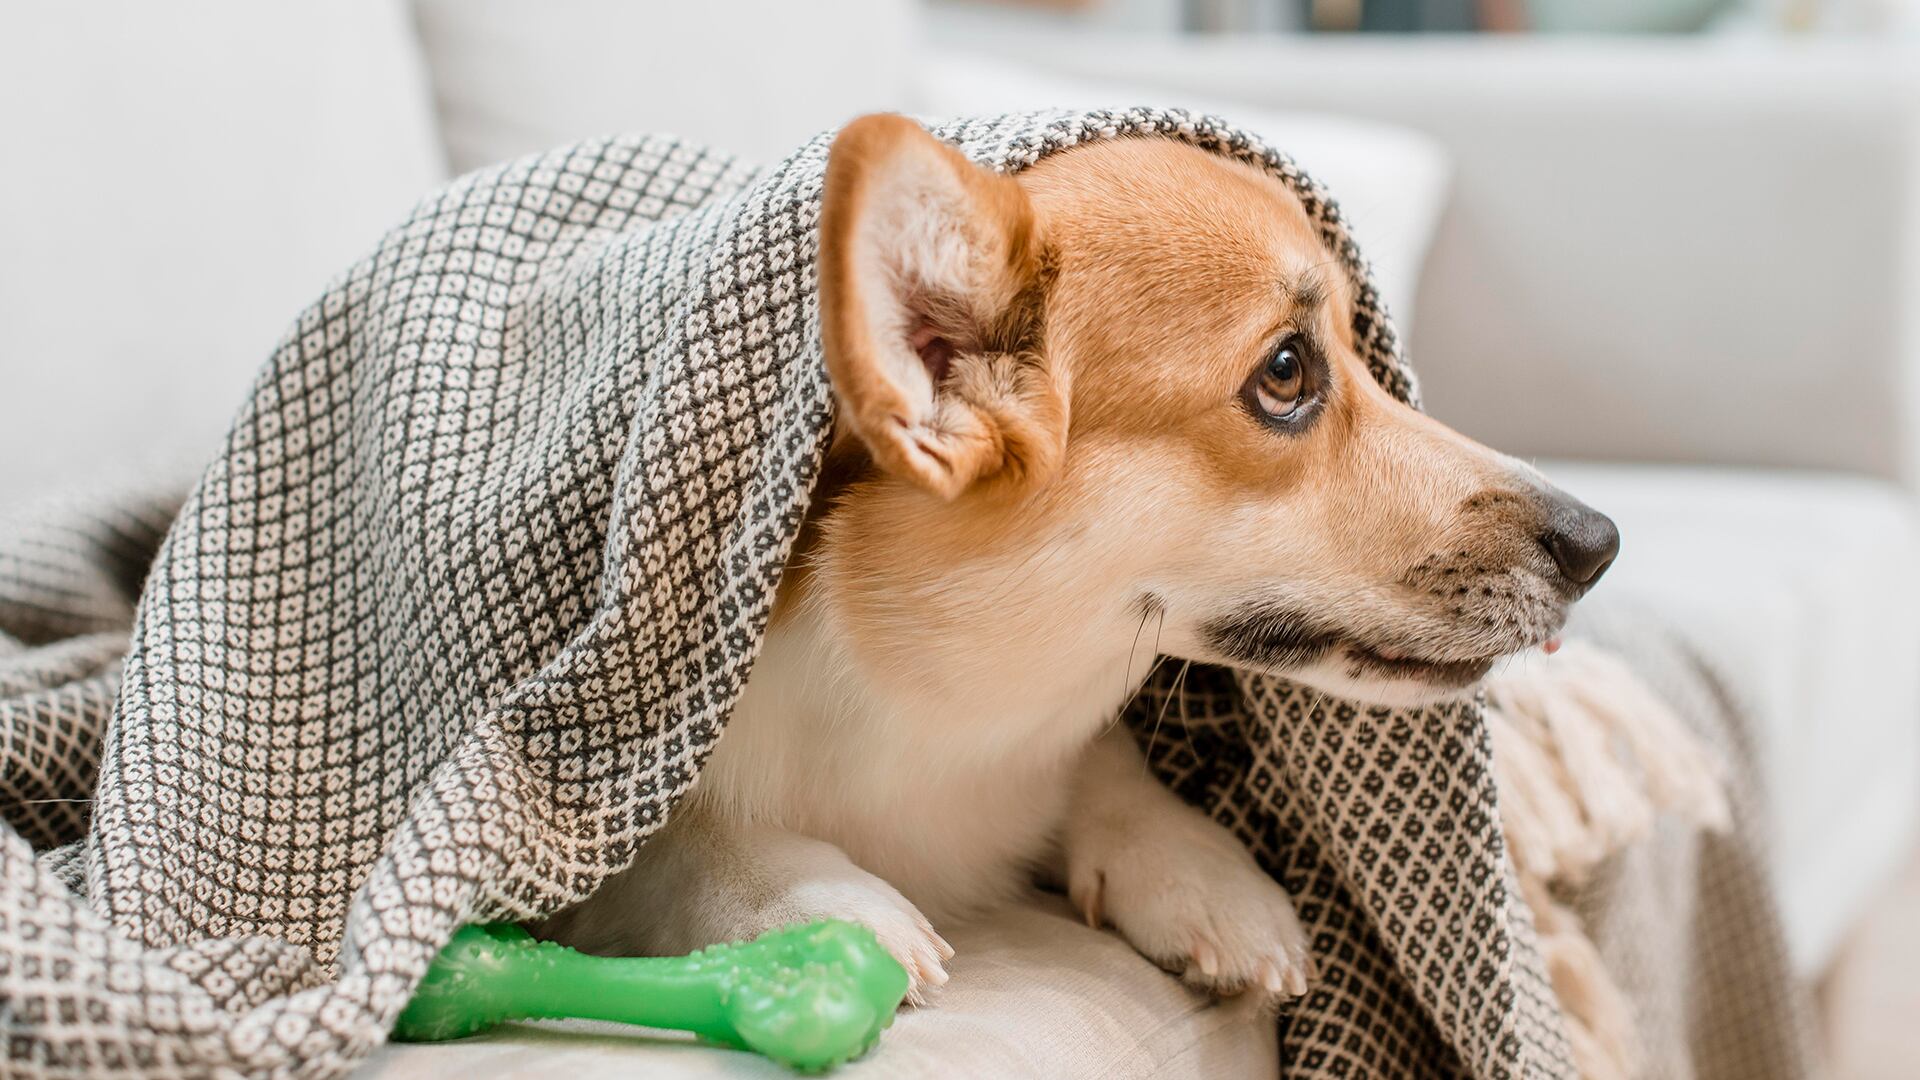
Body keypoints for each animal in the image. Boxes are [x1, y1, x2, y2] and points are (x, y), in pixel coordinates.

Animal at [545, 115, 1620, 999]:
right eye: (1285, 372)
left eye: (1363, 349)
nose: (1599, 544)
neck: (926, 705)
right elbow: (673, 846)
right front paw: (816, 903)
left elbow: (1105, 767)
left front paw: (1199, 872)